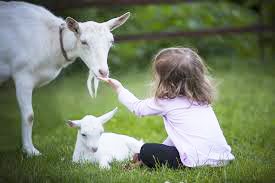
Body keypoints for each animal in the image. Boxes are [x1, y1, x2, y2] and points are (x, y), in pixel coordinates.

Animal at [0, 1, 131, 156]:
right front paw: (31, 151)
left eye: (111, 41)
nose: (103, 72)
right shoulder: (22, 74)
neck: (51, 40)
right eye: (84, 42)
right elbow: (29, 115)